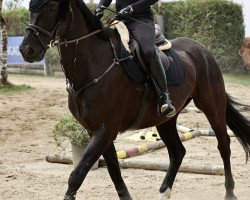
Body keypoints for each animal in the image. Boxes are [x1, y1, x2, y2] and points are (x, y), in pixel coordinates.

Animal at [19, 0, 250, 200]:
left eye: (51, 6)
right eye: (31, 7)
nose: (27, 50)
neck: (94, 64)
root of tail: (202, 50)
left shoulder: (105, 129)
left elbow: (77, 174)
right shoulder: (96, 131)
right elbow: (114, 171)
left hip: (212, 105)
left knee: (224, 144)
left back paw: (229, 192)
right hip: (165, 119)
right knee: (178, 151)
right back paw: (164, 192)